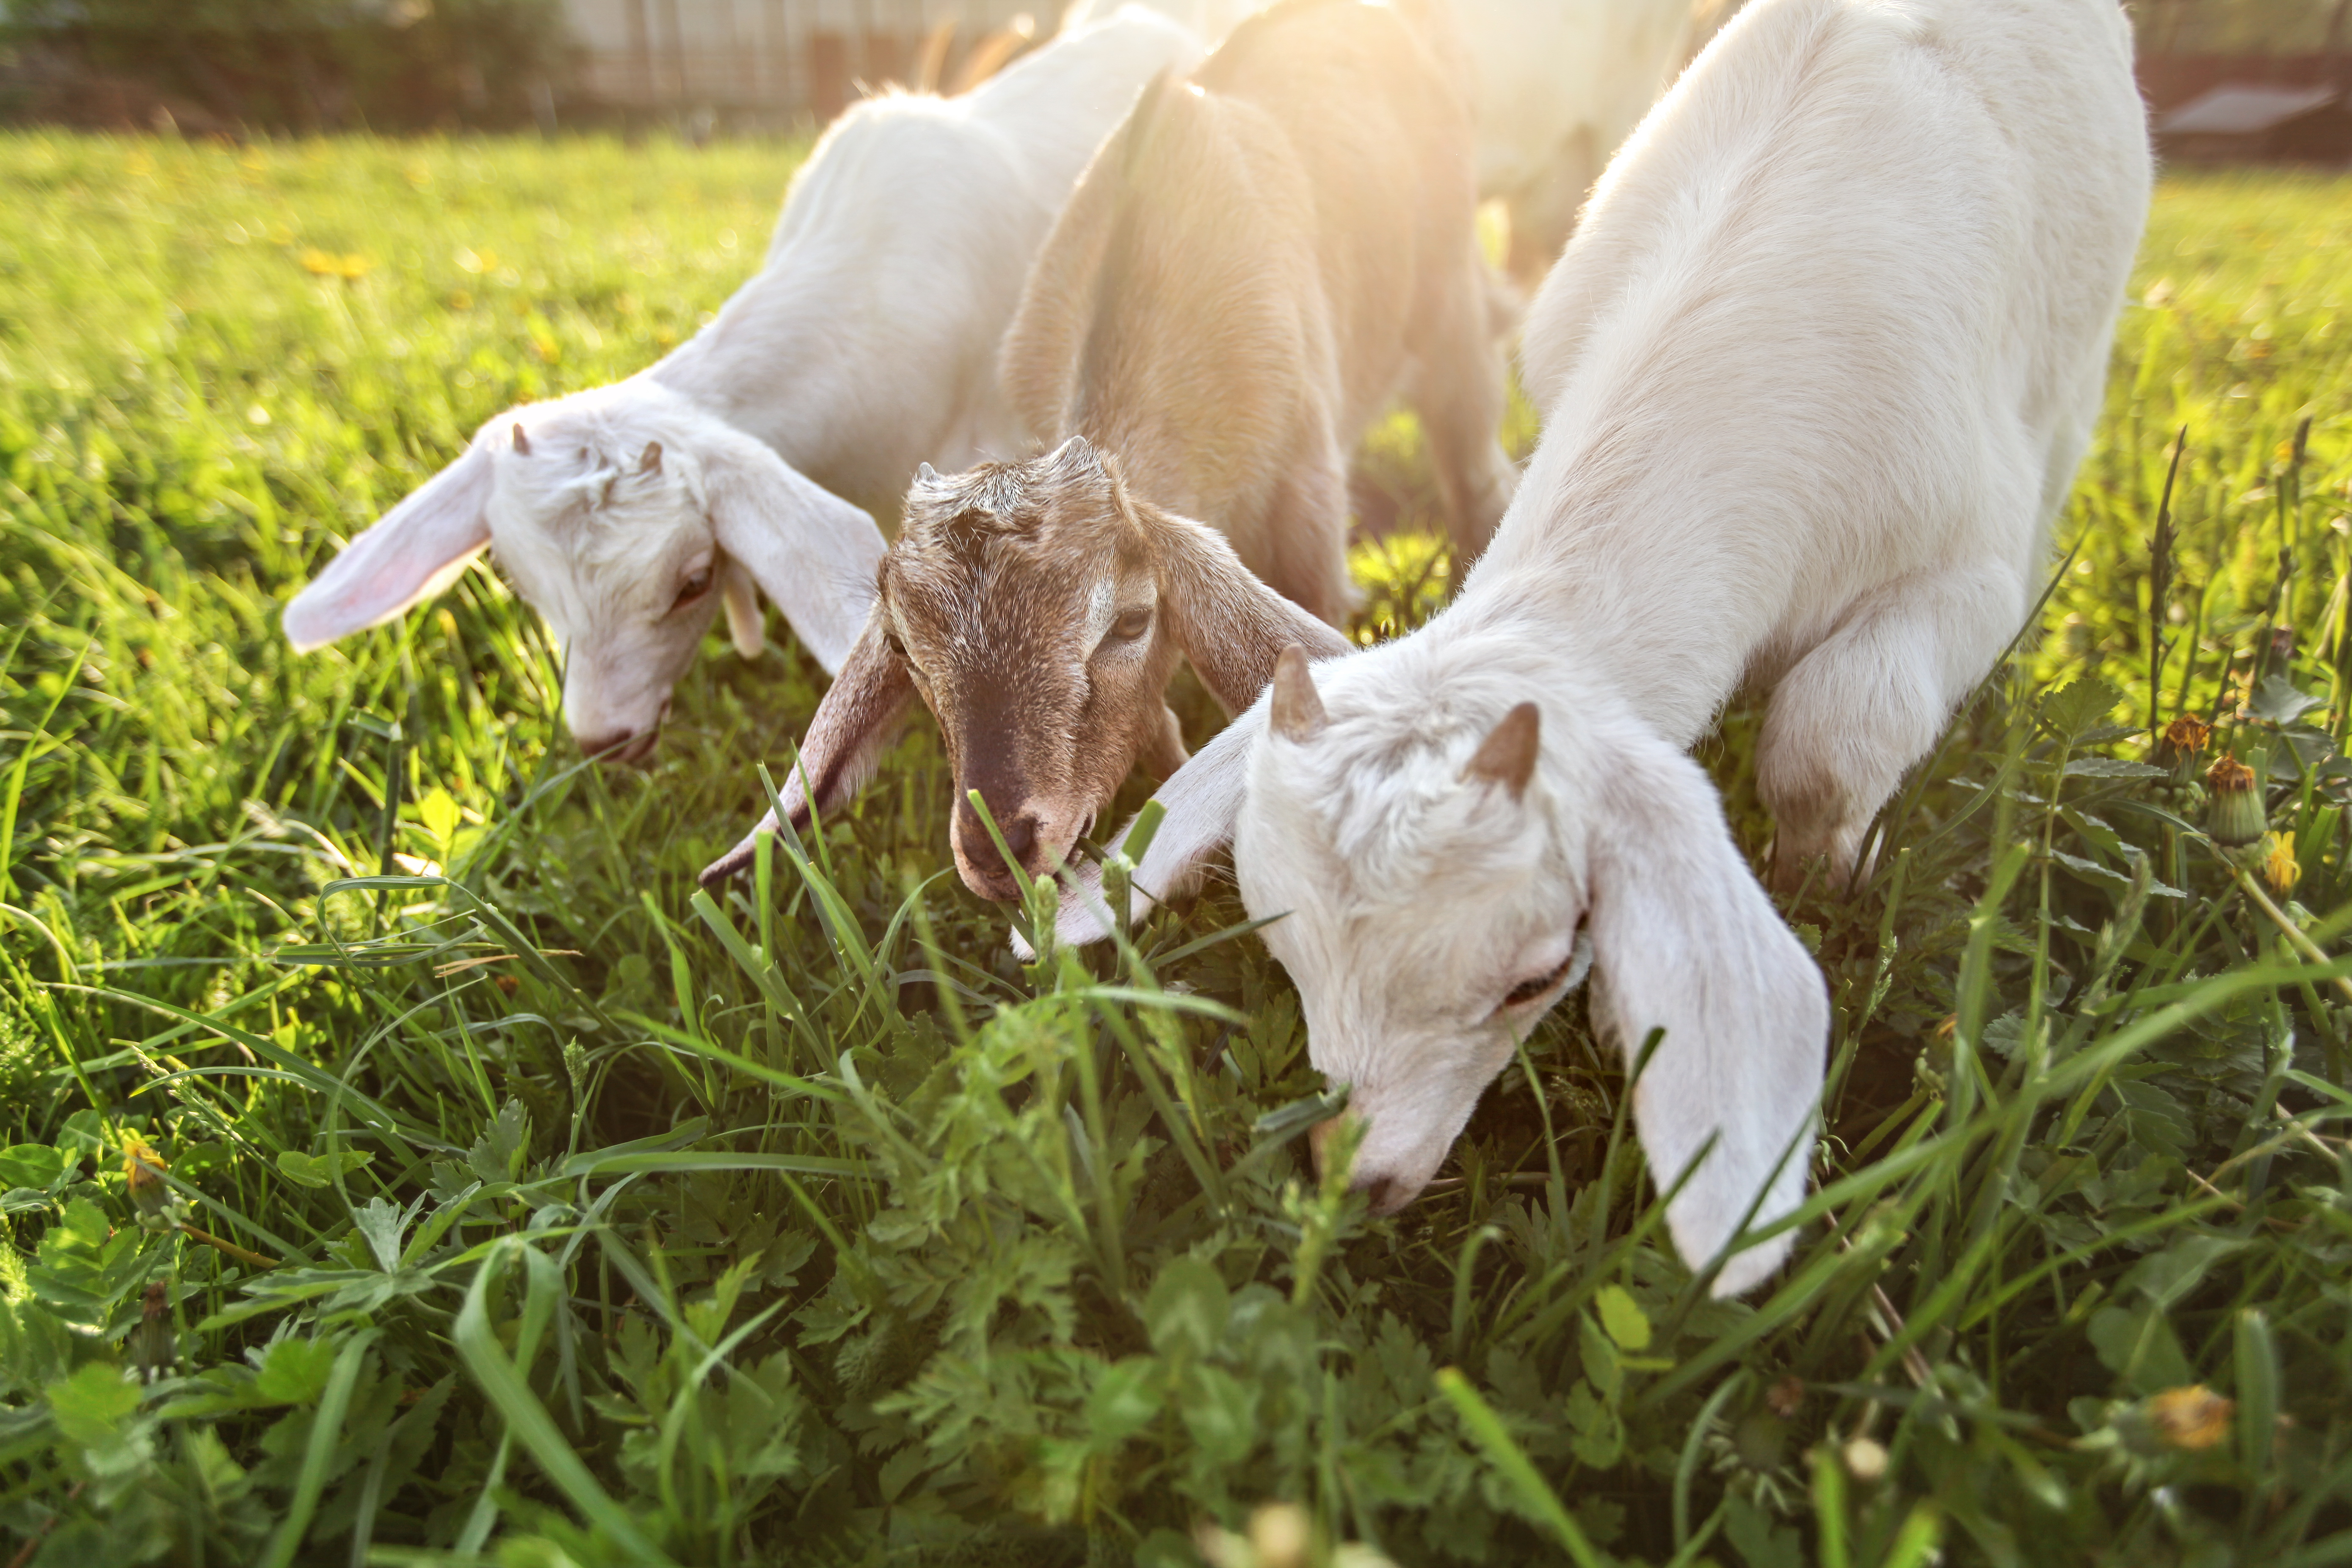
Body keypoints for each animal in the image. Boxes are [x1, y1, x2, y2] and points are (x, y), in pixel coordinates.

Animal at [1042, 0, 2153, 1296]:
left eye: (1535, 973)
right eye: (1280, 944)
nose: (1354, 1183)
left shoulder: (1971, 561)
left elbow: (1827, 743)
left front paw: (1832, 883)